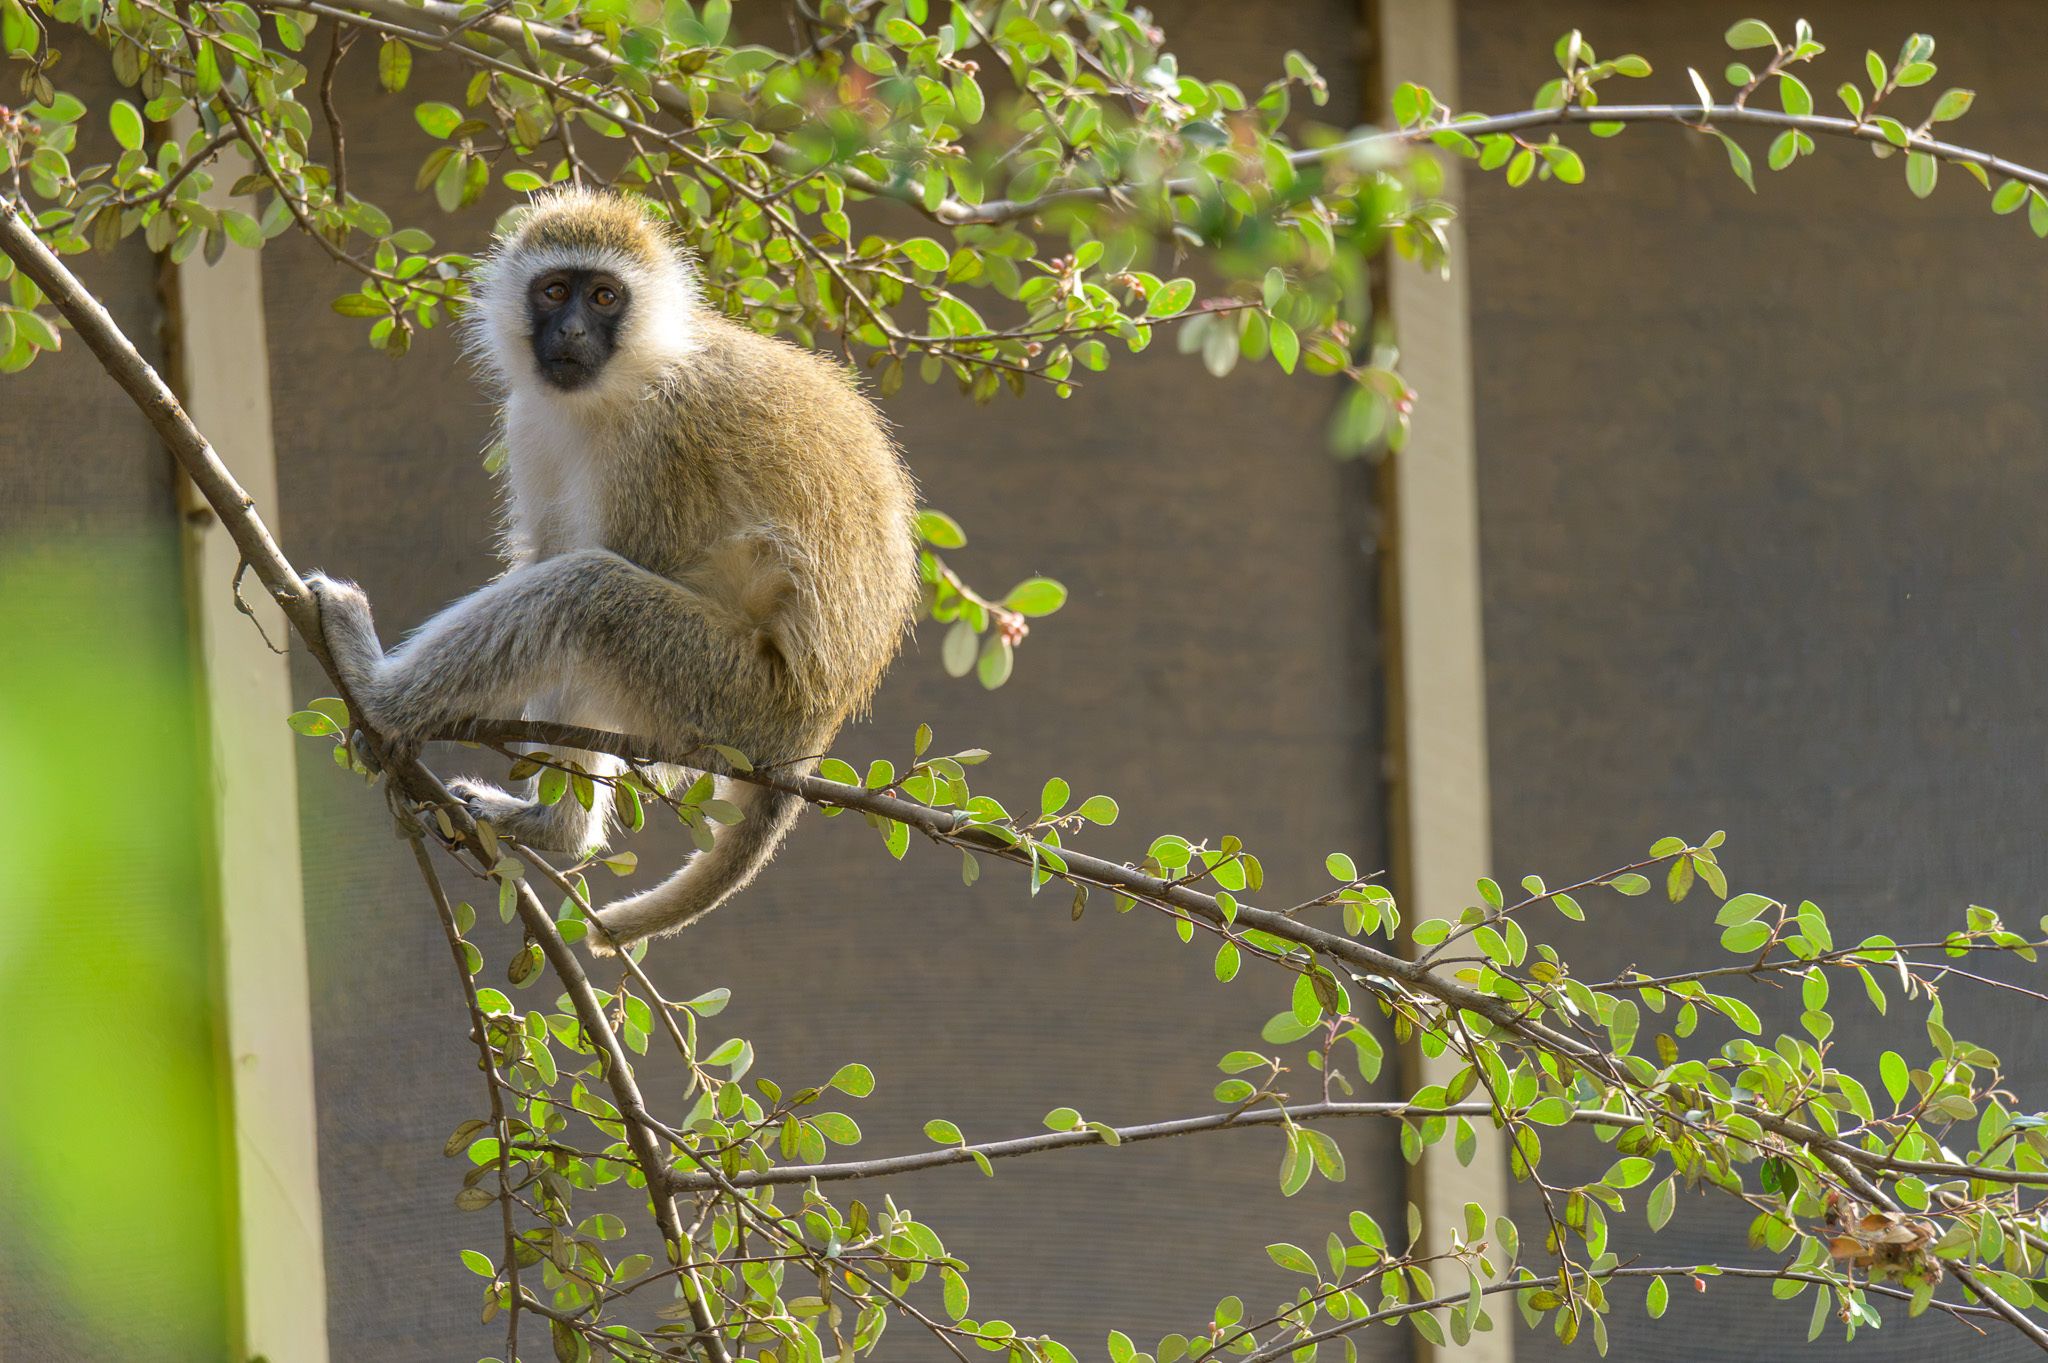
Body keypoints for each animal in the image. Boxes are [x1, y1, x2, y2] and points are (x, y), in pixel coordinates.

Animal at [305, 187, 919, 952]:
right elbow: (545, 553)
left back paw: (378, 693)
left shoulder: (662, 440)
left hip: (732, 700)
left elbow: (617, 568)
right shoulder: (528, 420)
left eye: (603, 296)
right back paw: (550, 827)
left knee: (585, 594)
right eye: (554, 291)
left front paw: (408, 716)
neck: (625, 383)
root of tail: (812, 734)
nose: (569, 330)